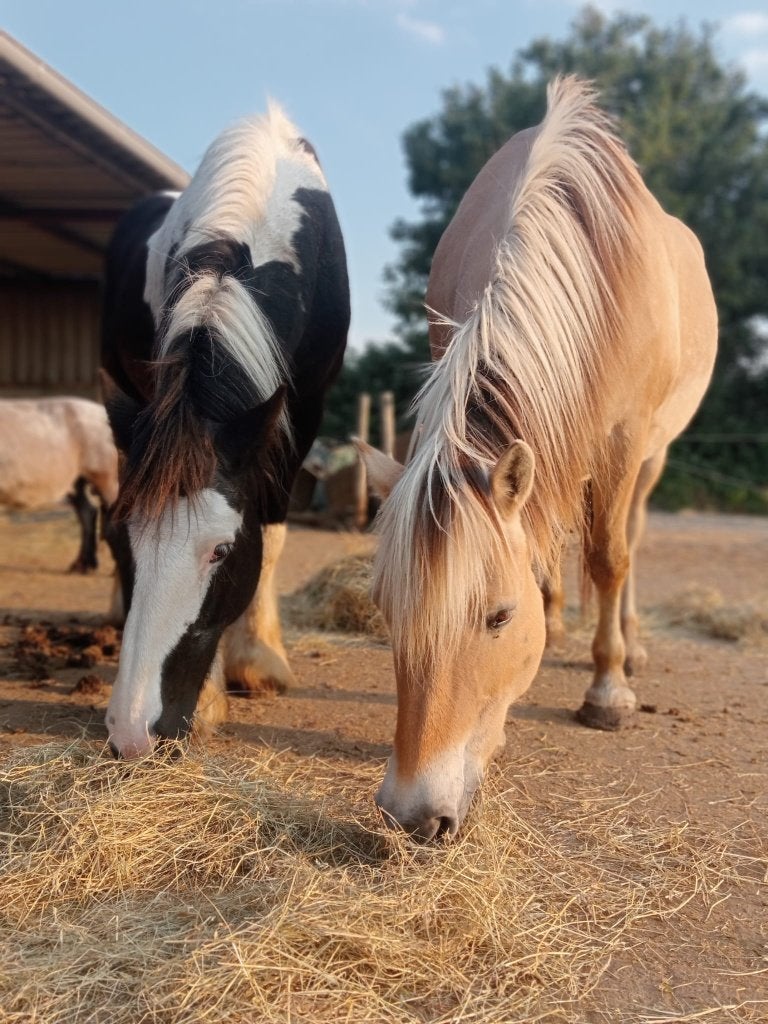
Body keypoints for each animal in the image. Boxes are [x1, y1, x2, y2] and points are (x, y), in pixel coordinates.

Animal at [101, 105, 349, 759]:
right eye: (120, 538)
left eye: (221, 550)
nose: (132, 733)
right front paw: (212, 697)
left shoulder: (304, 410)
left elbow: (274, 534)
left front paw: (257, 661)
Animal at [359, 77, 718, 840]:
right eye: (385, 609)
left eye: (497, 617)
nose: (414, 815)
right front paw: (550, 627)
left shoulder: (625, 437)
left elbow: (609, 557)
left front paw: (609, 691)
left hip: (651, 456)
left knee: (630, 538)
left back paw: (629, 644)